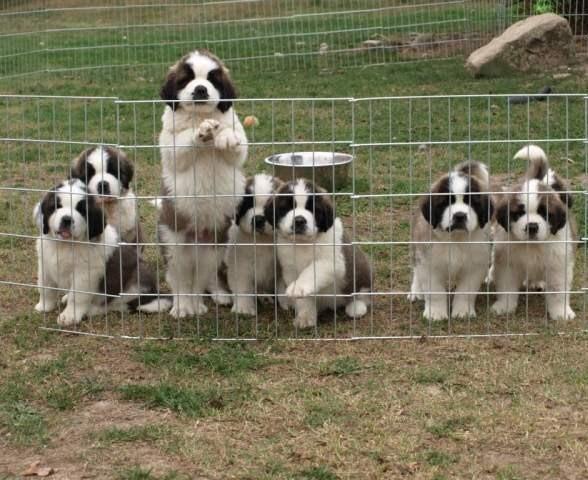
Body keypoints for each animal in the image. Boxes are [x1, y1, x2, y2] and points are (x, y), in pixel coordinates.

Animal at [34, 178, 169, 328]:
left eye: (81, 210)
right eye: (56, 207)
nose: (67, 219)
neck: (65, 245)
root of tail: (155, 293)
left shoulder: (84, 274)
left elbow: (77, 296)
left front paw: (69, 316)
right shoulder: (45, 264)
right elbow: (45, 288)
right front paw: (44, 306)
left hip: (136, 281)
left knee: (118, 304)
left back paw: (93, 309)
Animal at [225, 172, 284, 316]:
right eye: (247, 205)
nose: (258, 220)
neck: (262, 241)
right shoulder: (240, 263)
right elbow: (243, 286)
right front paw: (244, 308)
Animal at [264, 178, 370, 328]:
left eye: (314, 210)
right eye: (286, 208)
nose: (299, 220)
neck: (303, 243)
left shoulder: (332, 262)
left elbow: (311, 270)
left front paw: (298, 287)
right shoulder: (290, 268)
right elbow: (304, 300)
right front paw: (305, 317)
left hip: (362, 271)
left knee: (362, 294)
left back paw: (356, 307)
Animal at [408, 161, 496, 322]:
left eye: (472, 203)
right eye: (445, 203)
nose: (460, 215)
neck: (456, 239)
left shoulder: (474, 266)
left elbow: (465, 291)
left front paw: (463, 312)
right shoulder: (428, 262)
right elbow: (435, 292)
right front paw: (436, 313)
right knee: (417, 271)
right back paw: (416, 291)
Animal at [490, 144, 576, 320]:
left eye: (544, 214)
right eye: (519, 213)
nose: (532, 226)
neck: (532, 245)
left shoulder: (558, 263)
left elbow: (558, 291)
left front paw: (561, 313)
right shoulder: (507, 261)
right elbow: (506, 287)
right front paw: (504, 307)